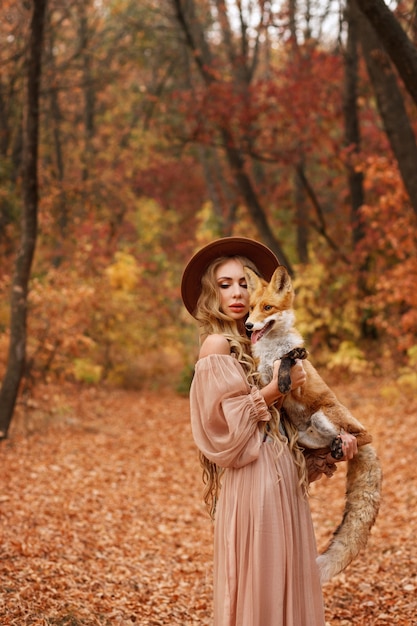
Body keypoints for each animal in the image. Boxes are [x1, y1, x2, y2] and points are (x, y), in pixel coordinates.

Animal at [242, 264, 382, 580]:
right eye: (250, 308)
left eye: (267, 308)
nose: (248, 326)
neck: (270, 349)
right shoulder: (268, 391)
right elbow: (262, 383)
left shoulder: (297, 375)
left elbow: (288, 360)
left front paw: (286, 368)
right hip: (305, 433)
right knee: (335, 444)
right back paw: (334, 450)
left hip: (326, 415)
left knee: (364, 435)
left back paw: (344, 446)